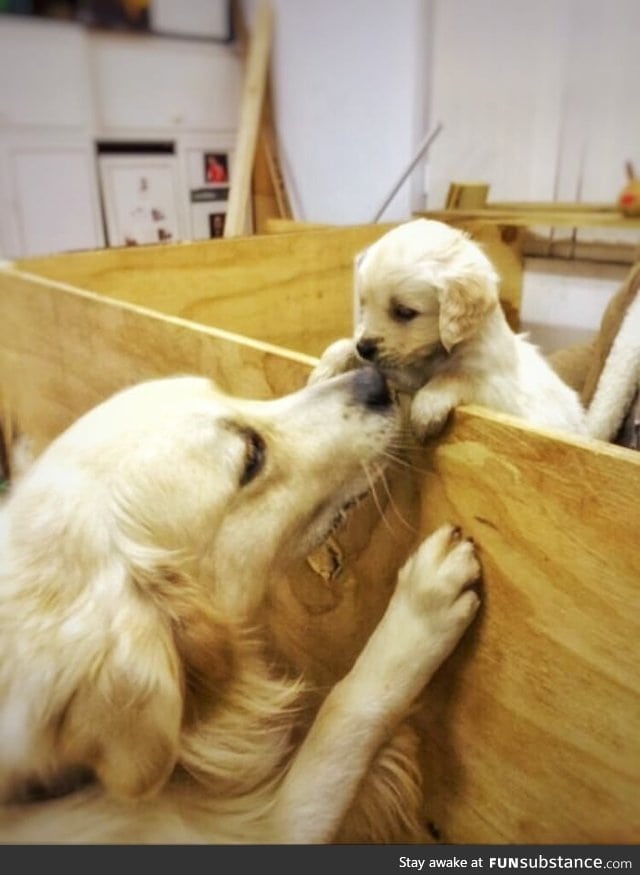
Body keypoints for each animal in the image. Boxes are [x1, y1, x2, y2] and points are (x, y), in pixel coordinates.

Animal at [308, 216, 588, 442]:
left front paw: (425, 410)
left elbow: (457, 376)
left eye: (404, 312)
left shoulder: (494, 388)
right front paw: (322, 371)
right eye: (363, 304)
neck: (434, 354)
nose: (364, 348)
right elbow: (343, 345)